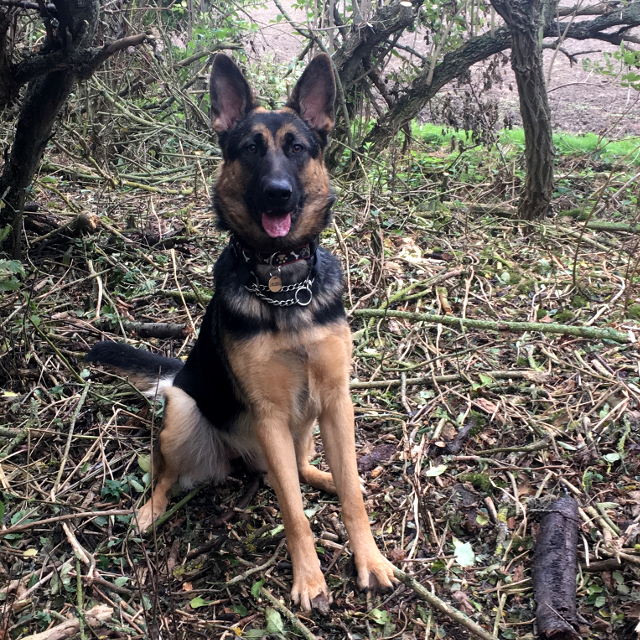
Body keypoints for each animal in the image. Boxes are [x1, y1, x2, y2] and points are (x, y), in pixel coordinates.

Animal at [85, 53, 396, 608]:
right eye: (250, 148)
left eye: (297, 148)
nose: (278, 195)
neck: (282, 284)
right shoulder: (269, 415)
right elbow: (293, 512)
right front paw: (309, 579)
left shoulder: (336, 400)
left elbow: (353, 495)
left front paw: (370, 558)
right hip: (182, 410)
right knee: (170, 474)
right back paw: (148, 512)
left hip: (306, 423)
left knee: (303, 468)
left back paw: (324, 476)